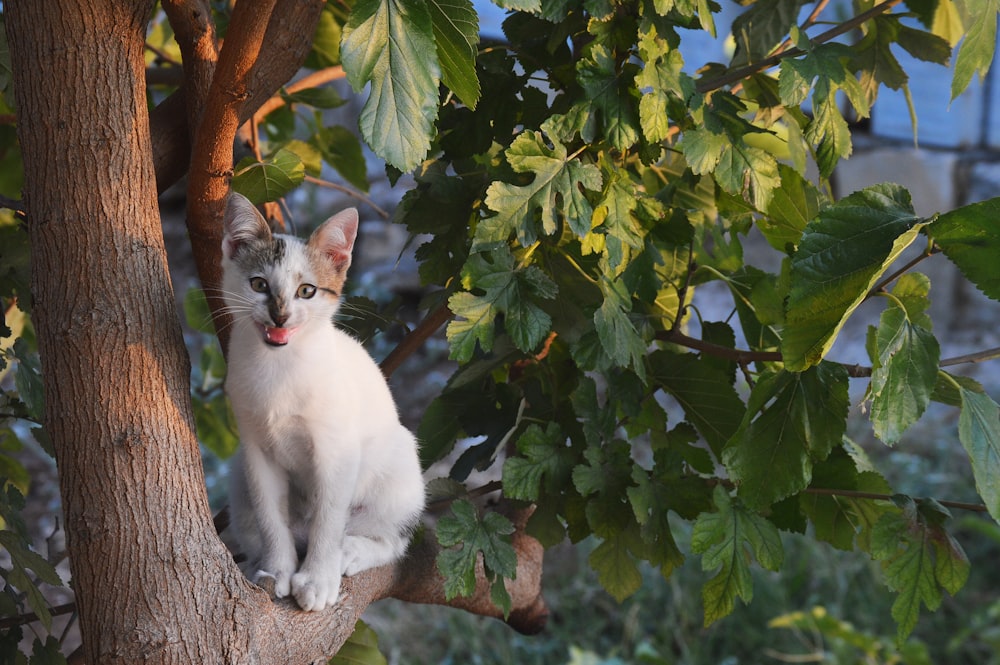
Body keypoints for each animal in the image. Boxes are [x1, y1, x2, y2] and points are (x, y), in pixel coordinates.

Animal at [221, 192, 424, 612]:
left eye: (307, 291)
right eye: (259, 284)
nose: (280, 315)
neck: (279, 366)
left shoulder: (336, 449)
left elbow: (329, 518)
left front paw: (318, 578)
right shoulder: (255, 449)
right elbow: (270, 516)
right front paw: (277, 569)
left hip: (397, 470)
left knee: (392, 539)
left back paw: (350, 552)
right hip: (238, 476)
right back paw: (258, 563)